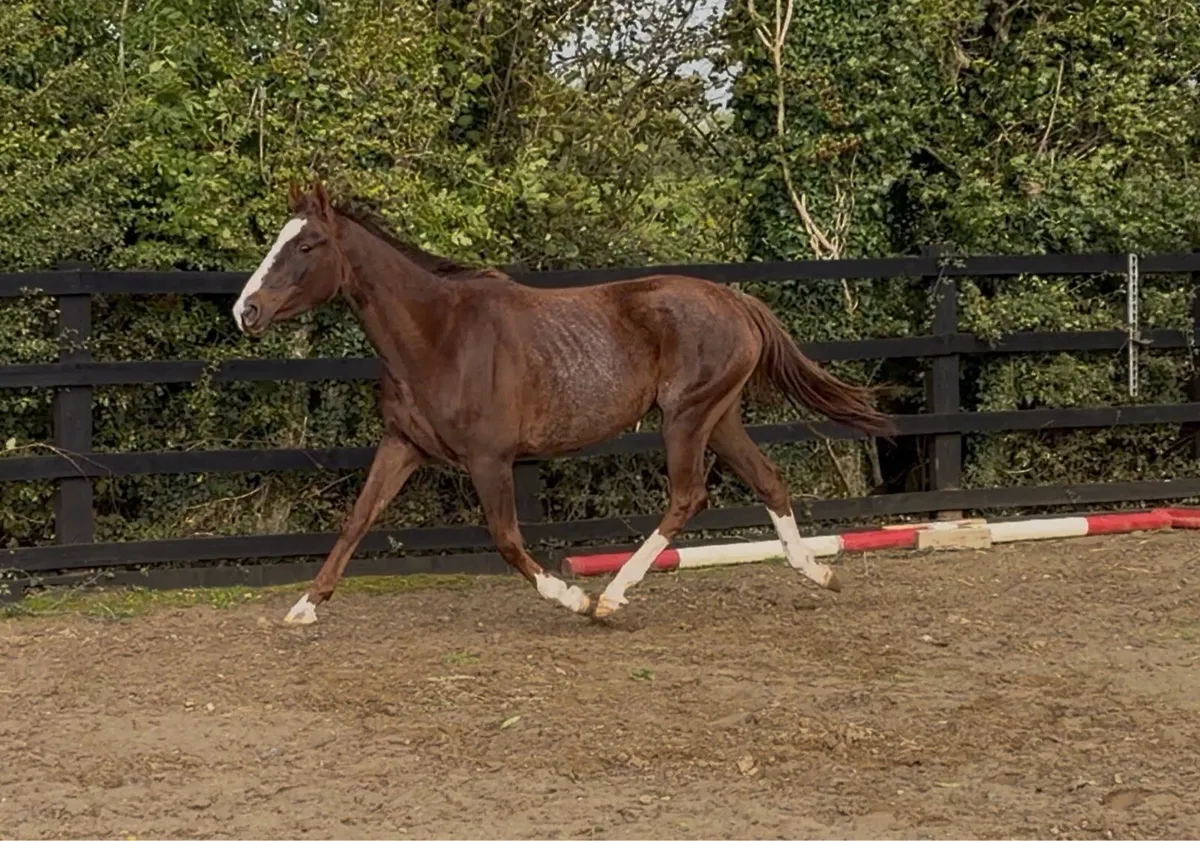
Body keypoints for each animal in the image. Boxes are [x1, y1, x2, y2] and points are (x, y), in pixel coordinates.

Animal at [232, 180, 895, 624]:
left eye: (309, 245)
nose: (247, 311)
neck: (440, 335)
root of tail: (737, 301)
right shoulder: (403, 445)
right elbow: (357, 519)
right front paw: (304, 605)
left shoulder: (490, 459)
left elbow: (505, 539)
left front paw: (572, 595)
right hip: (720, 417)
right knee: (769, 479)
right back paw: (820, 572)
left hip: (686, 418)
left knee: (688, 496)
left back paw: (611, 596)